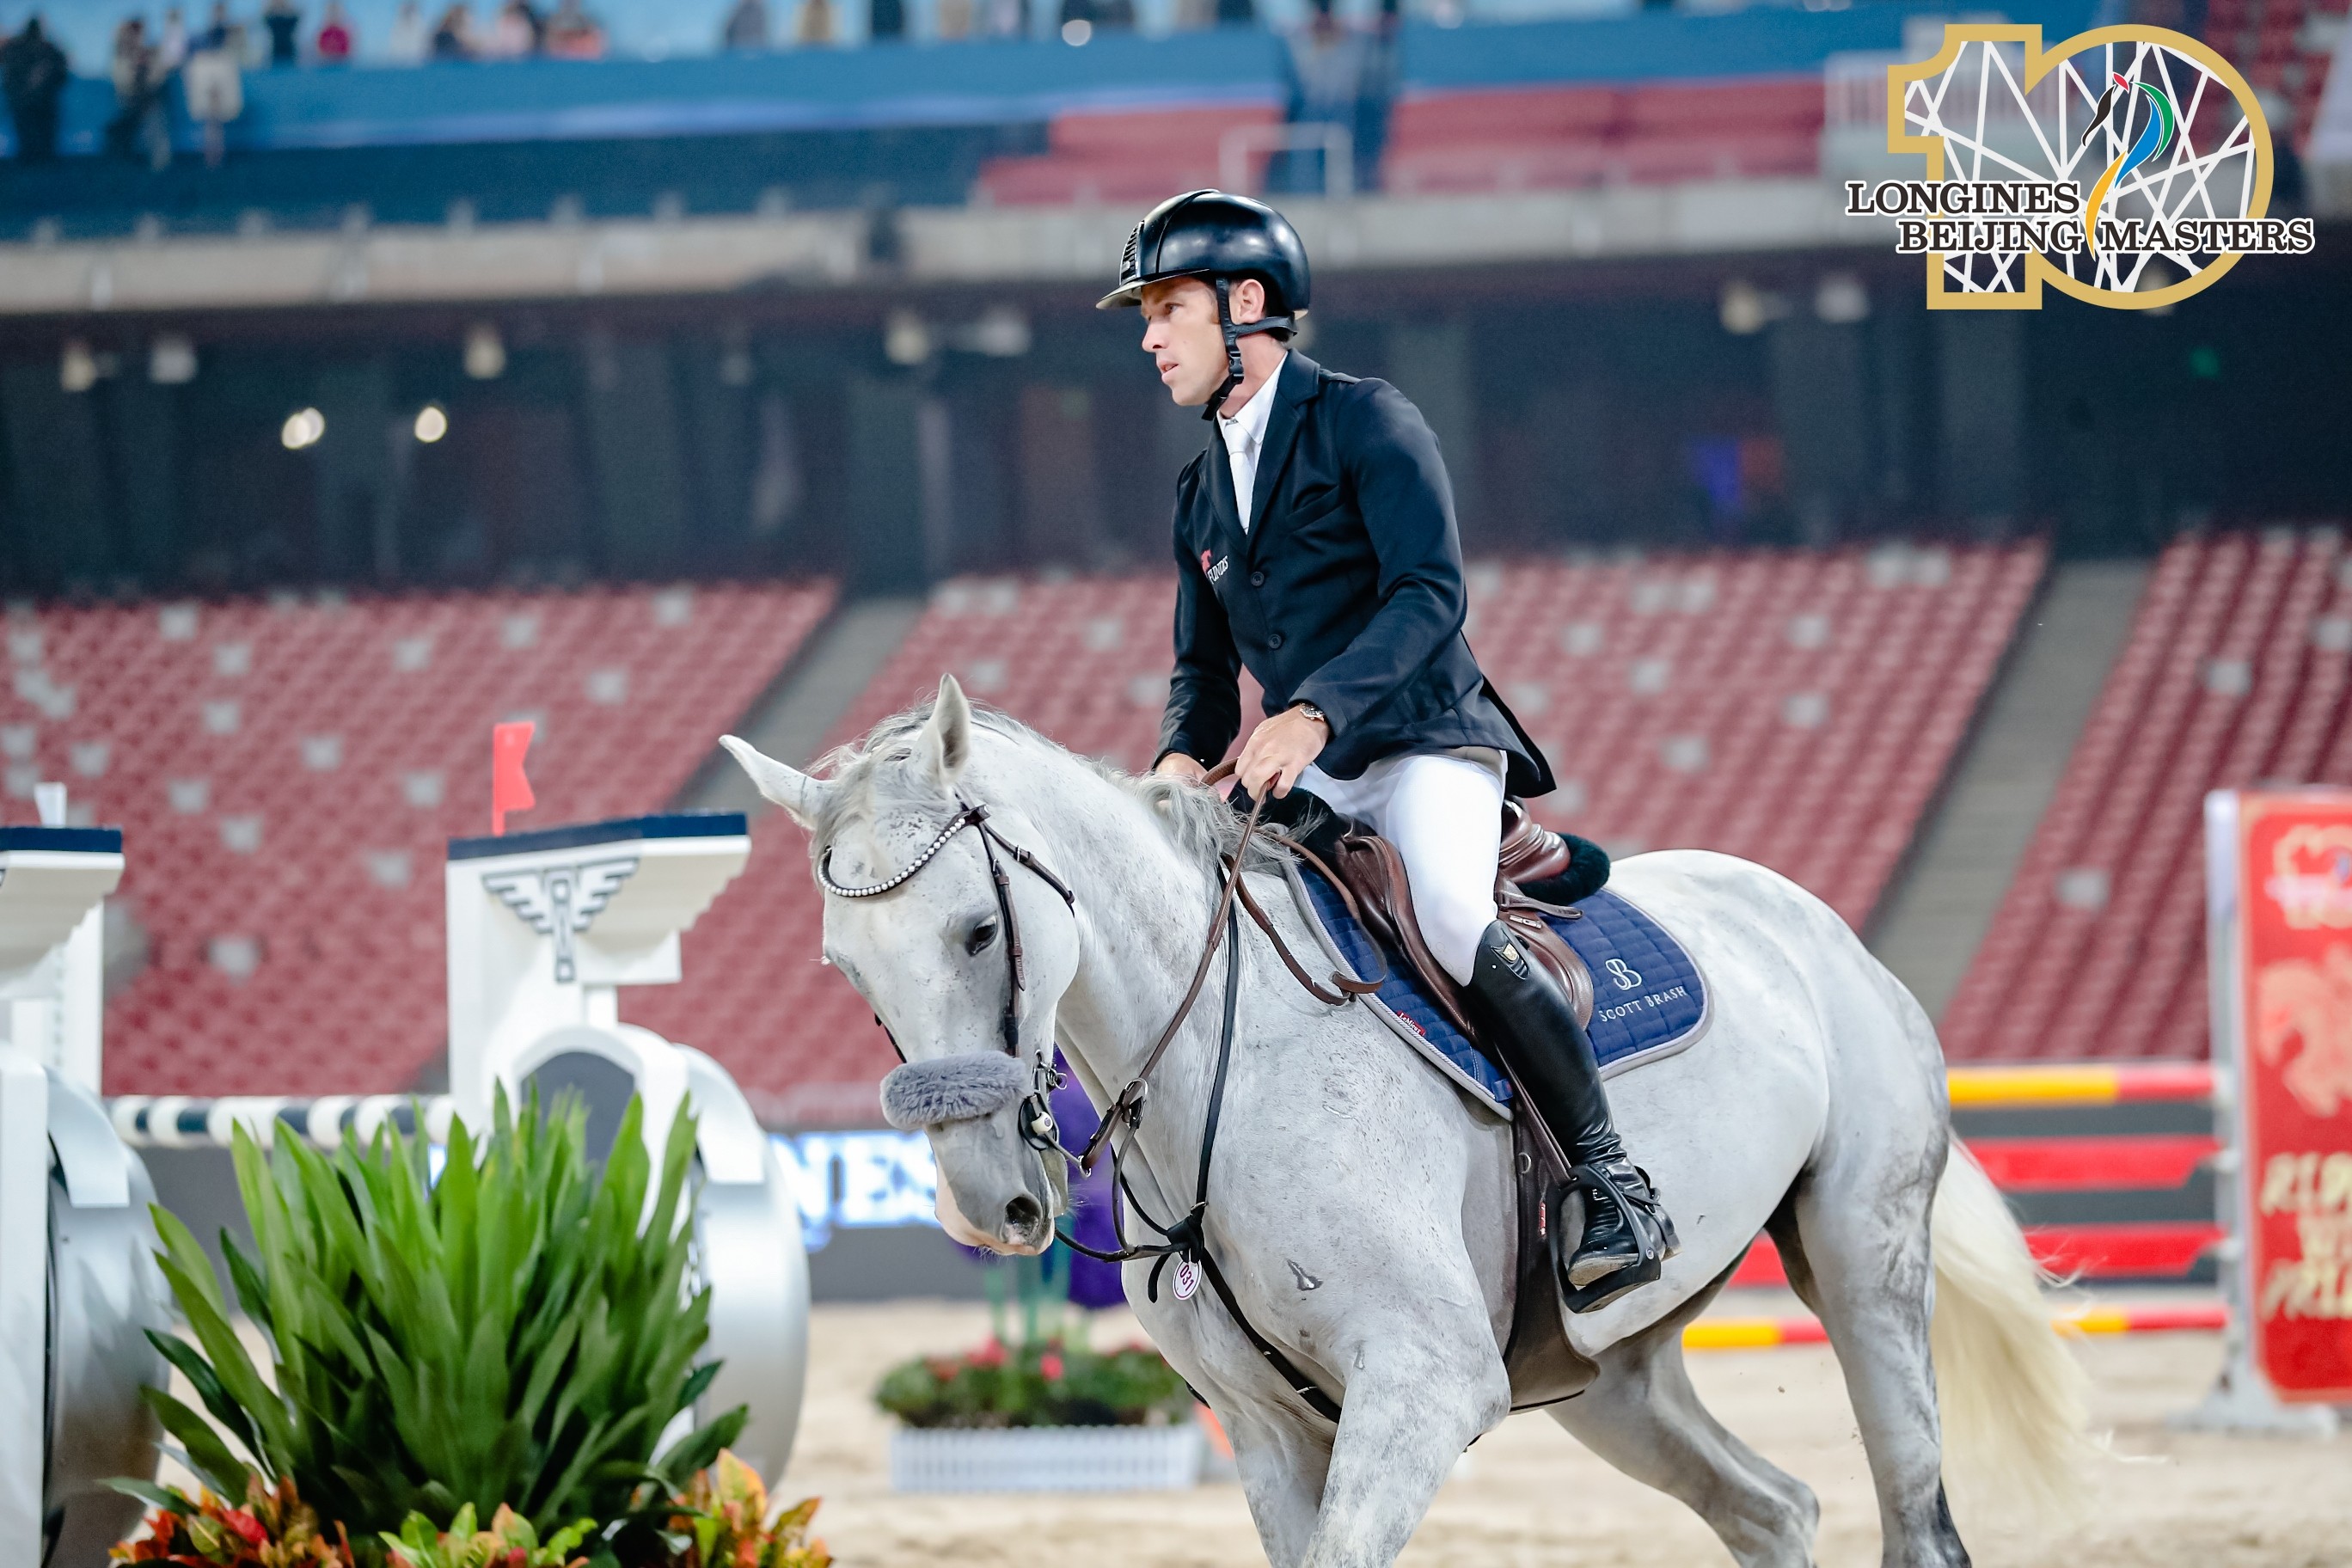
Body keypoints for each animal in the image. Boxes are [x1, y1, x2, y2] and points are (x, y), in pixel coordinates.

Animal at [723, 674, 2090, 1568]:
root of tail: (1817, 925)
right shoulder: (1273, 1435)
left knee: (1913, 1515)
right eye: (847, 970)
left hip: (1864, 1260)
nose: (987, 1203)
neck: (1226, 1065)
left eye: (978, 932)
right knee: (1773, 1510)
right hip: (1606, 1379)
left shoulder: (1422, 1388)